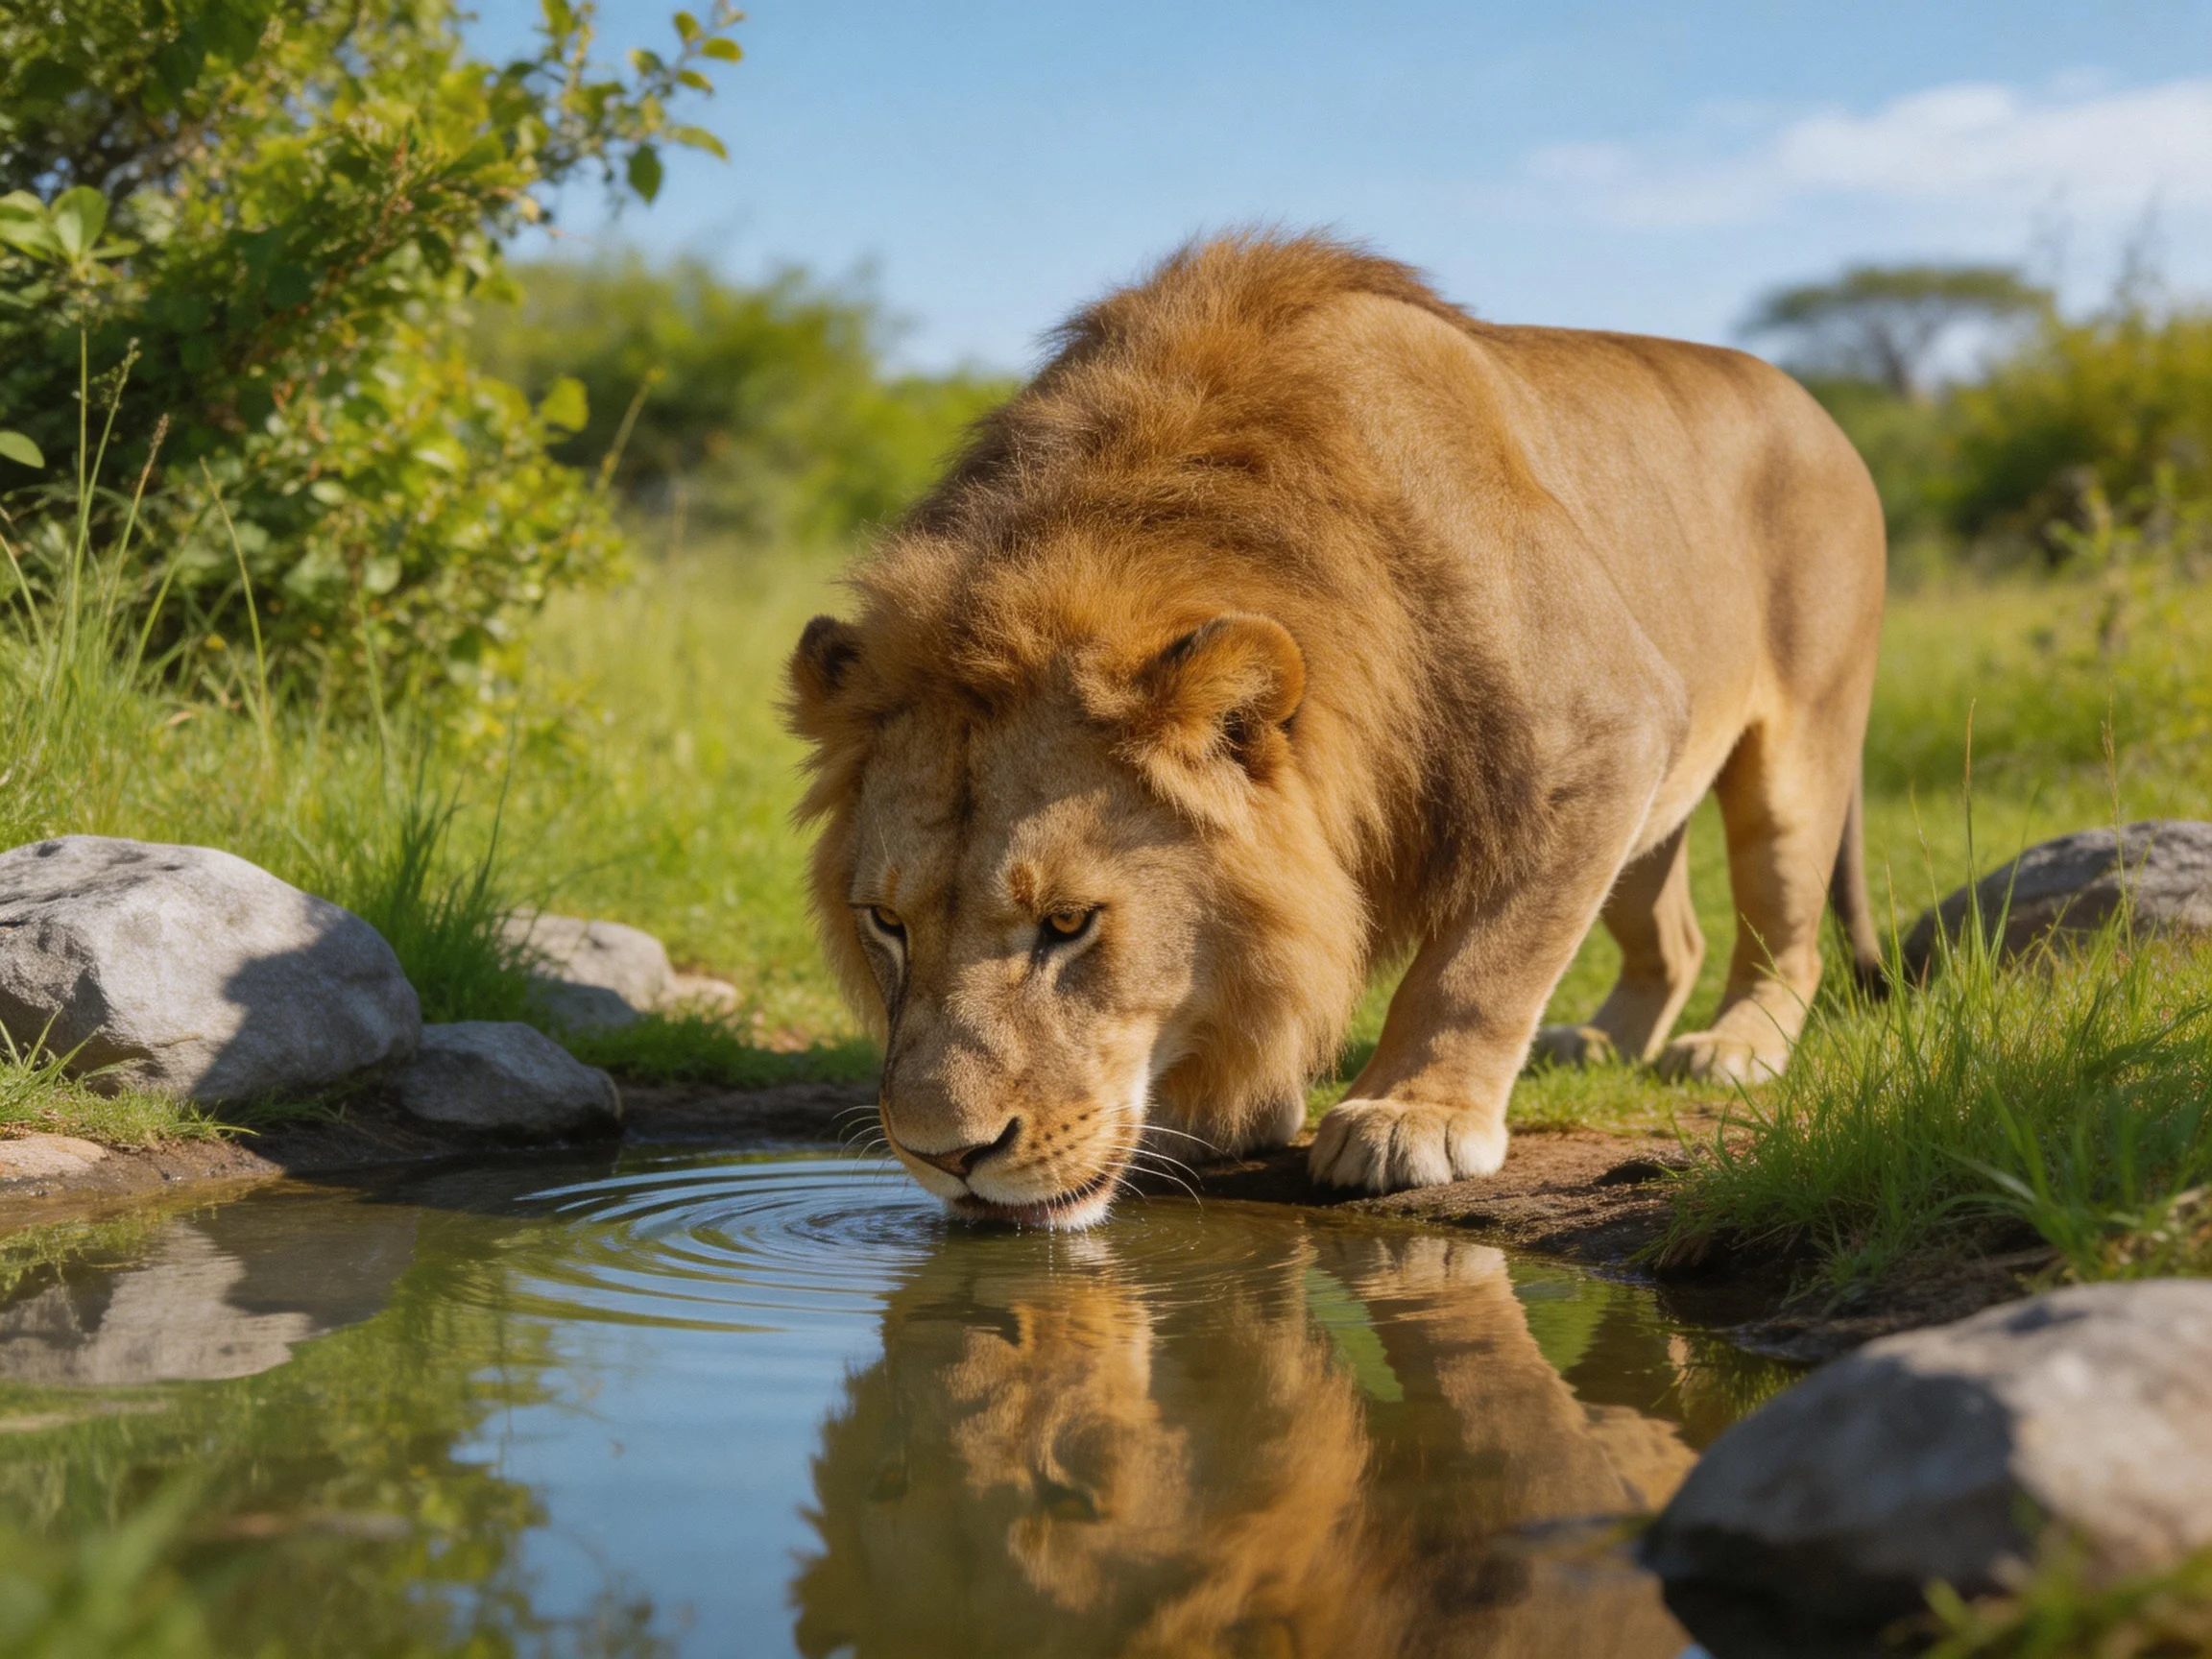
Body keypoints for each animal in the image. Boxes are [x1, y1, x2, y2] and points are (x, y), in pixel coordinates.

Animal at [787, 231, 1885, 1219]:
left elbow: (1484, 959)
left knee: (1784, 931)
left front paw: (1412, 1118)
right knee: (1672, 932)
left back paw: (1733, 1048)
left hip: (1796, 754)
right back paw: (1601, 1039)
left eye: (1068, 924)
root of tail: (1812, 404)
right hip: (1653, 811)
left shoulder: (1609, 729)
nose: (945, 1156)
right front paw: (1222, 1109)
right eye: (887, 923)